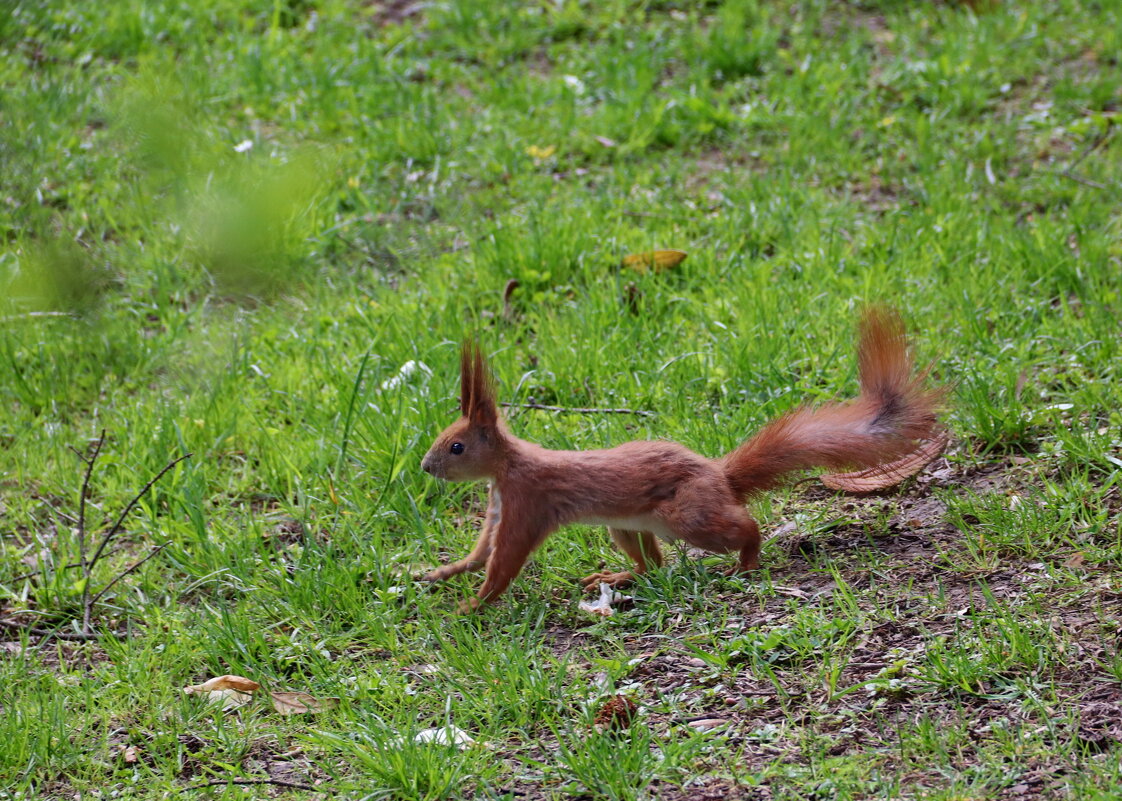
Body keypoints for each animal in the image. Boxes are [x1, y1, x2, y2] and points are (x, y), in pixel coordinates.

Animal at [419, 305, 937, 605]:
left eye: (456, 446)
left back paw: (745, 562)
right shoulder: (498, 504)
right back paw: (621, 577)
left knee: (744, 528)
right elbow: (479, 553)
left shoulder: (527, 502)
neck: (506, 469)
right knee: (653, 565)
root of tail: (720, 477)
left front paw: (473, 605)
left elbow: (504, 560)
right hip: (626, 525)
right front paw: (441, 573)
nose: (426, 467)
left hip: (686, 514)